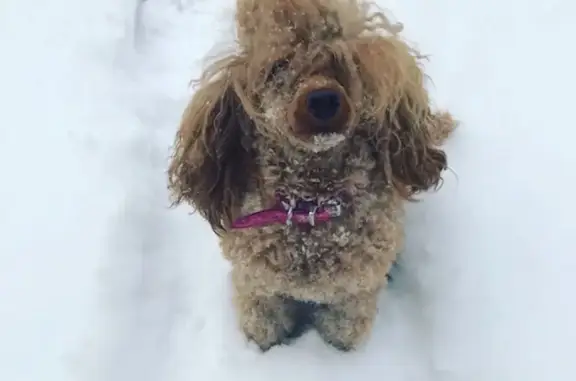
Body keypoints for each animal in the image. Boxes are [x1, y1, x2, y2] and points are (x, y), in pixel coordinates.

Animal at [166, 0, 454, 352]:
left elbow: (343, 332)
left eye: (343, 64)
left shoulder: (351, 299)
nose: (323, 100)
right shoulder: (258, 291)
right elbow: (264, 329)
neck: (310, 205)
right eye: (279, 67)